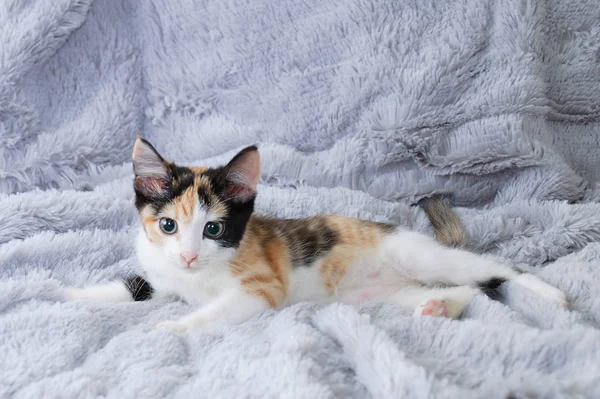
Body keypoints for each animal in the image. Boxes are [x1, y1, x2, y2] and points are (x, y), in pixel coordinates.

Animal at [64, 138, 568, 334]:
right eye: (167, 225)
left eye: (214, 229)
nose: (188, 256)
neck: (194, 278)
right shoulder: (161, 271)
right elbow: (134, 286)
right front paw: (66, 293)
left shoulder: (262, 287)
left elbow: (216, 310)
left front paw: (173, 326)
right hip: (382, 295)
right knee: (465, 289)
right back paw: (436, 307)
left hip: (422, 256)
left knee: (495, 269)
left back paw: (552, 295)